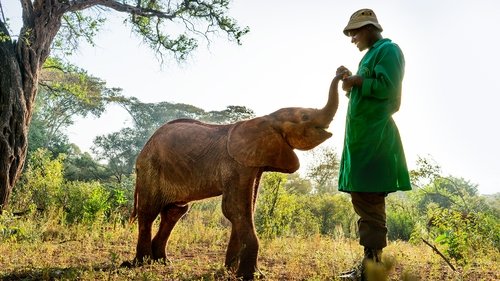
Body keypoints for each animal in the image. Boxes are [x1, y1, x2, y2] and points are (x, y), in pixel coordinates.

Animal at [127, 74, 342, 278]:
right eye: (305, 116)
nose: (342, 72)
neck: (267, 118)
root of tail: (144, 149)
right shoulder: (235, 164)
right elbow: (234, 208)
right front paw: (250, 275)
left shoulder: (253, 164)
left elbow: (246, 208)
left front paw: (230, 270)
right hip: (150, 167)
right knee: (149, 211)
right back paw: (141, 263)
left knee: (174, 211)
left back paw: (162, 261)